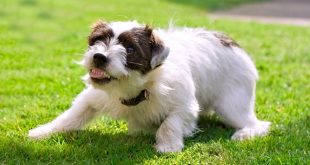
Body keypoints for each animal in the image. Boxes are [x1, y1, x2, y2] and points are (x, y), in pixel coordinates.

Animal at [29, 21, 272, 153]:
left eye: (129, 49)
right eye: (97, 40)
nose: (98, 57)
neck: (134, 88)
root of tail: (233, 43)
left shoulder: (185, 106)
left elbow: (170, 123)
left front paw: (168, 146)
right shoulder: (91, 99)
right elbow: (69, 117)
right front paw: (43, 132)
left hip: (231, 107)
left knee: (259, 124)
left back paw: (246, 133)